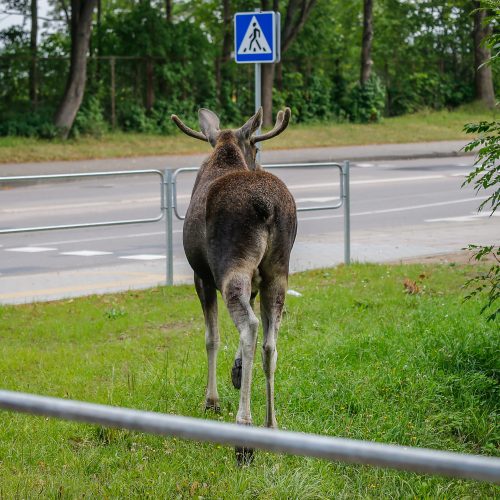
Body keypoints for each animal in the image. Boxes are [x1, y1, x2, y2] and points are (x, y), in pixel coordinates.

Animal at [172, 107, 296, 462]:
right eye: (256, 147)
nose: (261, 164)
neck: (224, 149)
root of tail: (269, 207)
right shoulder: (255, 283)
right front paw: (238, 372)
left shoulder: (201, 276)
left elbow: (211, 338)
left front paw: (211, 400)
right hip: (277, 272)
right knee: (270, 342)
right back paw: (271, 424)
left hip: (232, 268)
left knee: (250, 326)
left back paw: (244, 432)